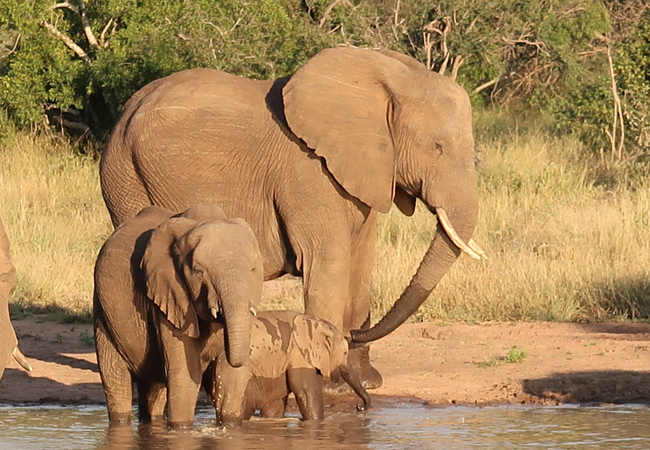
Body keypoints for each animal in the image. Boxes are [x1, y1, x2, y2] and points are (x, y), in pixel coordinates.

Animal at [92, 206, 264, 428]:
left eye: (253, 269)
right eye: (198, 272)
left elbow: (231, 376)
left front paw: (229, 427)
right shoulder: (169, 296)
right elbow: (185, 375)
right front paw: (180, 429)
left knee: (154, 388)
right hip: (102, 315)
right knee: (116, 379)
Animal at [101, 46, 484, 386]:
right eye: (436, 148)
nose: (354, 333)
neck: (382, 79)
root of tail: (122, 113)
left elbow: (361, 265)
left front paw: (368, 380)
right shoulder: (306, 171)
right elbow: (330, 264)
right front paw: (333, 382)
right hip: (125, 176)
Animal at [208, 310, 370, 426]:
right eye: (345, 353)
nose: (359, 407)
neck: (314, 322)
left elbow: (276, 403)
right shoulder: (299, 355)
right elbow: (306, 392)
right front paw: (315, 422)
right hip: (234, 377)